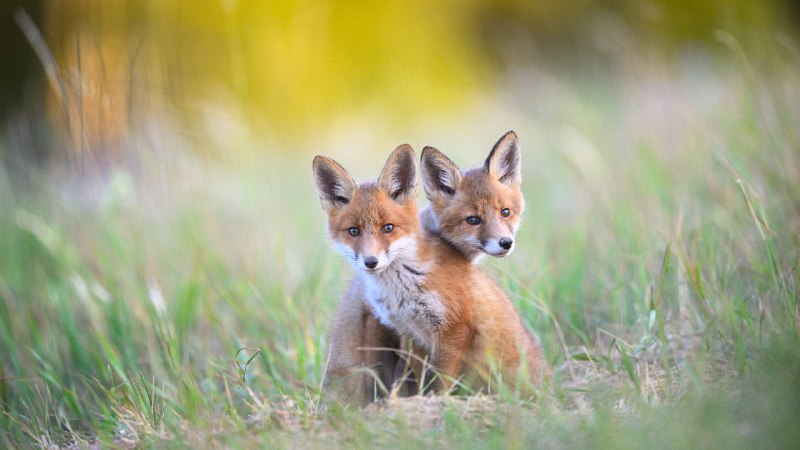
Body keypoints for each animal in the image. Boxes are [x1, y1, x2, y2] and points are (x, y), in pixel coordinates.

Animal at [314, 143, 545, 403]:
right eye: (353, 231)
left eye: (388, 228)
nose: (370, 262)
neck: (403, 284)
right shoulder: (408, 333)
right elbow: (418, 379)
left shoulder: (452, 329)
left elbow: (437, 382)